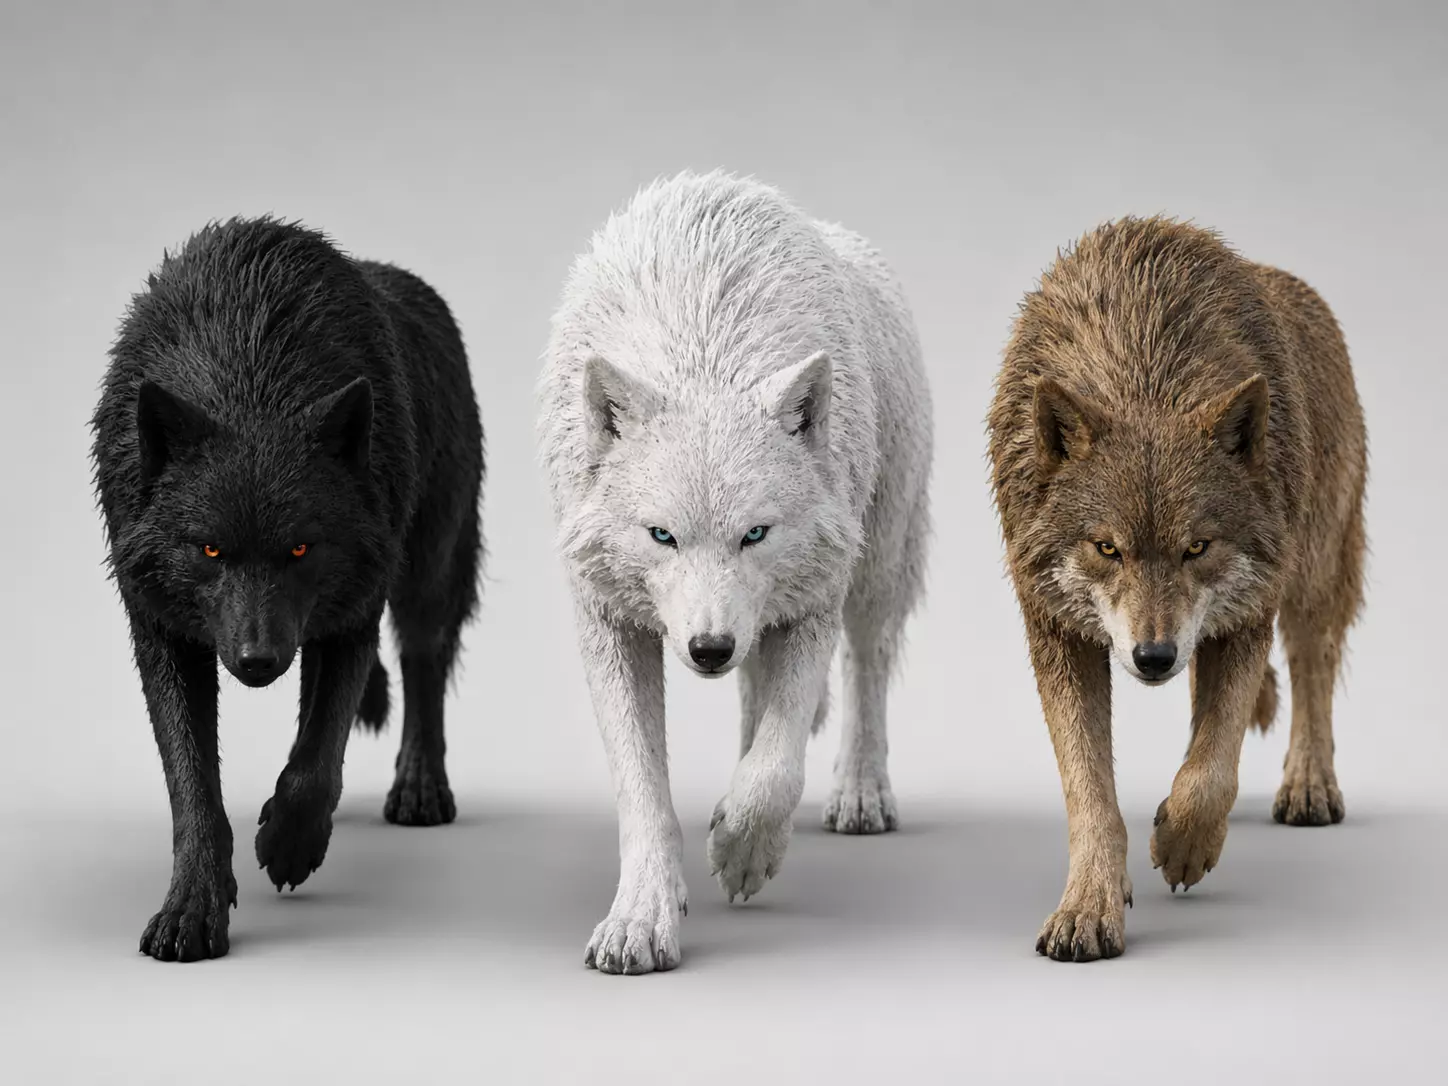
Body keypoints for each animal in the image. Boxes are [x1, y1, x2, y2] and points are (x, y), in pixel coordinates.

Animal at [92, 217, 485, 961]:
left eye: (300, 548)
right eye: (210, 549)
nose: (256, 661)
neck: (248, 367)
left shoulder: (354, 607)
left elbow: (316, 765)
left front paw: (288, 844)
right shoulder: (161, 624)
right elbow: (192, 785)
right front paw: (192, 909)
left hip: (427, 568)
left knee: (423, 664)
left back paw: (419, 788)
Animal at [538, 170, 933, 974]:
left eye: (755, 533)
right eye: (662, 535)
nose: (708, 650)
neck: (702, 336)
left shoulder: (813, 599)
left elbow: (779, 765)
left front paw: (742, 850)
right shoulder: (608, 618)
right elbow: (644, 788)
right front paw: (641, 919)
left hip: (874, 567)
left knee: (866, 668)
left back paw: (860, 794)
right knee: (759, 697)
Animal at [987, 216, 1367, 962]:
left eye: (1197, 546)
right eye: (1107, 548)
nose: (1154, 657)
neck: (1144, 365)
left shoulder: (1249, 609)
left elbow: (1212, 769)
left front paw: (1184, 845)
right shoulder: (1057, 628)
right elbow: (1091, 791)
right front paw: (1089, 908)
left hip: (1310, 576)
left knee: (1312, 670)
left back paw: (1308, 786)